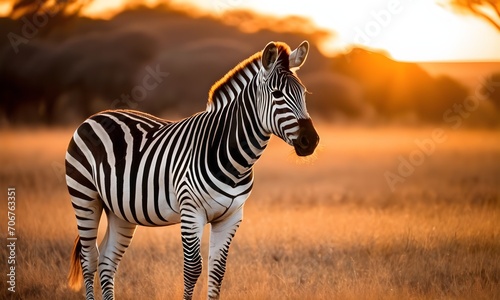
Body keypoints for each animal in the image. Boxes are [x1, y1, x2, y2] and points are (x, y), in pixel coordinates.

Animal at [66, 40, 320, 300]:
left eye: (303, 94)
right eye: (277, 94)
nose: (311, 140)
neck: (234, 161)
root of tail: (95, 116)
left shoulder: (231, 217)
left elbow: (217, 270)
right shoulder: (191, 212)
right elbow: (193, 269)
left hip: (120, 210)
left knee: (107, 261)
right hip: (85, 196)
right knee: (89, 258)